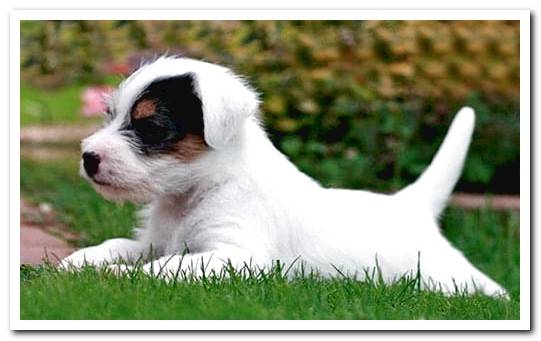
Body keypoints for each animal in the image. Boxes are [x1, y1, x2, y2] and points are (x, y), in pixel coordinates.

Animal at [61, 56, 508, 298]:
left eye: (151, 127)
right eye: (109, 114)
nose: (88, 157)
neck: (198, 191)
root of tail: (411, 206)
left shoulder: (237, 256)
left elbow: (170, 267)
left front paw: (120, 277)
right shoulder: (154, 242)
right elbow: (120, 245)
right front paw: (80, 261)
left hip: (447, 275)